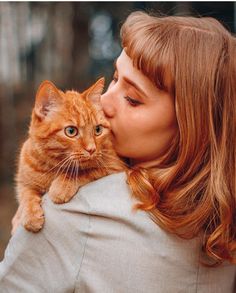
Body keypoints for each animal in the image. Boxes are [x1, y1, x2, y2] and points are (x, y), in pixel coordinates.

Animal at [12, 77, 125, 233]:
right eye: (71, 131)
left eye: (97, 130)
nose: (92, 149)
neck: (53, 167)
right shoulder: (24, 181)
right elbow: (26, 194)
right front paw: (29, 215)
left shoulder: (115, 166)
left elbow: (83, 171)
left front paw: (61, 187)